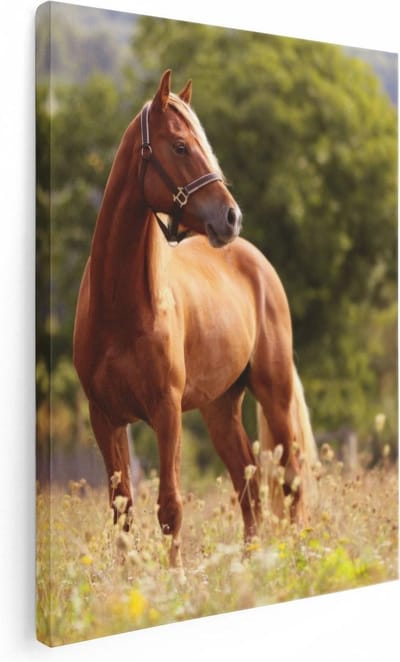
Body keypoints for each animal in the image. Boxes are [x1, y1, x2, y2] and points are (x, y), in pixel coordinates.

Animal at [73, 70, 317, 567]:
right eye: (181, 146)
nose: (231, 217)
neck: (120, 307)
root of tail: (256, 261)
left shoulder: (166, 412)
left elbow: (170, 507)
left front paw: (176, 578)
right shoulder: (104, 417)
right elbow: (122, 511)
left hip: (274, 392)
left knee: (289, 481)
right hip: (219, 407)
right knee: (249, 486)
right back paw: (250, 565)